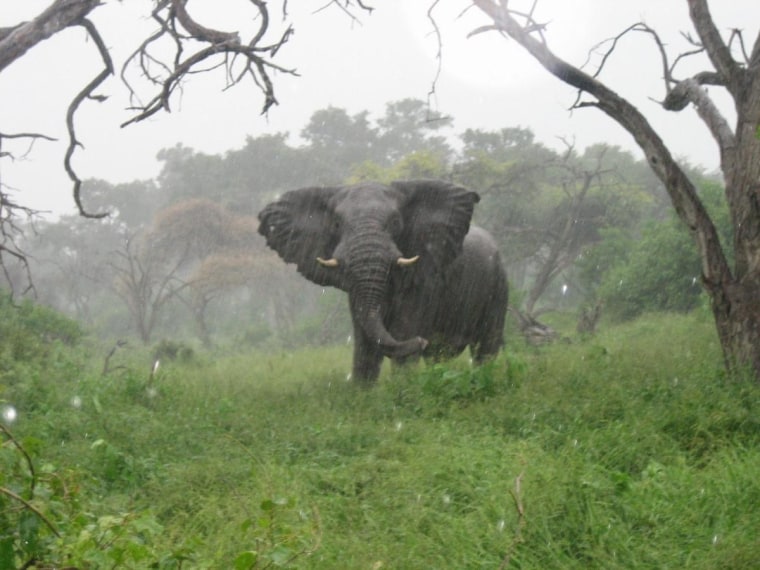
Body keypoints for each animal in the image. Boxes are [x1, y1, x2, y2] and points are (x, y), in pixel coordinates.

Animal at [257, 179, 508, 384]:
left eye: (396, 222)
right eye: (336, 224)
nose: (422, 340)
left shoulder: (424, 282)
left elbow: (403, 335)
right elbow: (364, 345)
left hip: (499, 286)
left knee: (485, 348)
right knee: (438, 356)